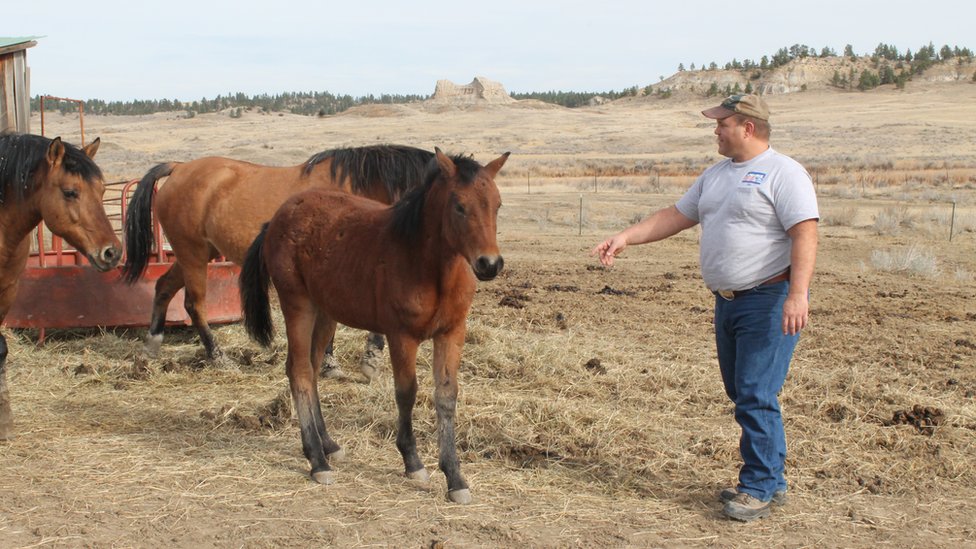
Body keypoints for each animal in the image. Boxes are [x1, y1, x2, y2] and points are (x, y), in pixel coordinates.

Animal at [120, 146, 432, 376]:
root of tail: (179, 167)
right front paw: (361, 359)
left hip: (197, 253)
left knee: (163, 287)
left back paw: (152, 345)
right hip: (192, 253)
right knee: (194, 304)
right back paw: (218, 357)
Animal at [239, 149, 508, 500]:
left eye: (497, 204)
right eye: (459, 206)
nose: (489, 264)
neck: (429, 265)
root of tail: (277, 218)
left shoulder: (452, 333)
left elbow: (447, 396)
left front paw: (455, 477)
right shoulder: (401, 336)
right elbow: (406, 393)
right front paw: (412, 461)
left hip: (325, 313)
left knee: (311, 368)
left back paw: (329, 445)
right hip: (298, 305)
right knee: (299, 371)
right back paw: (317, 460)